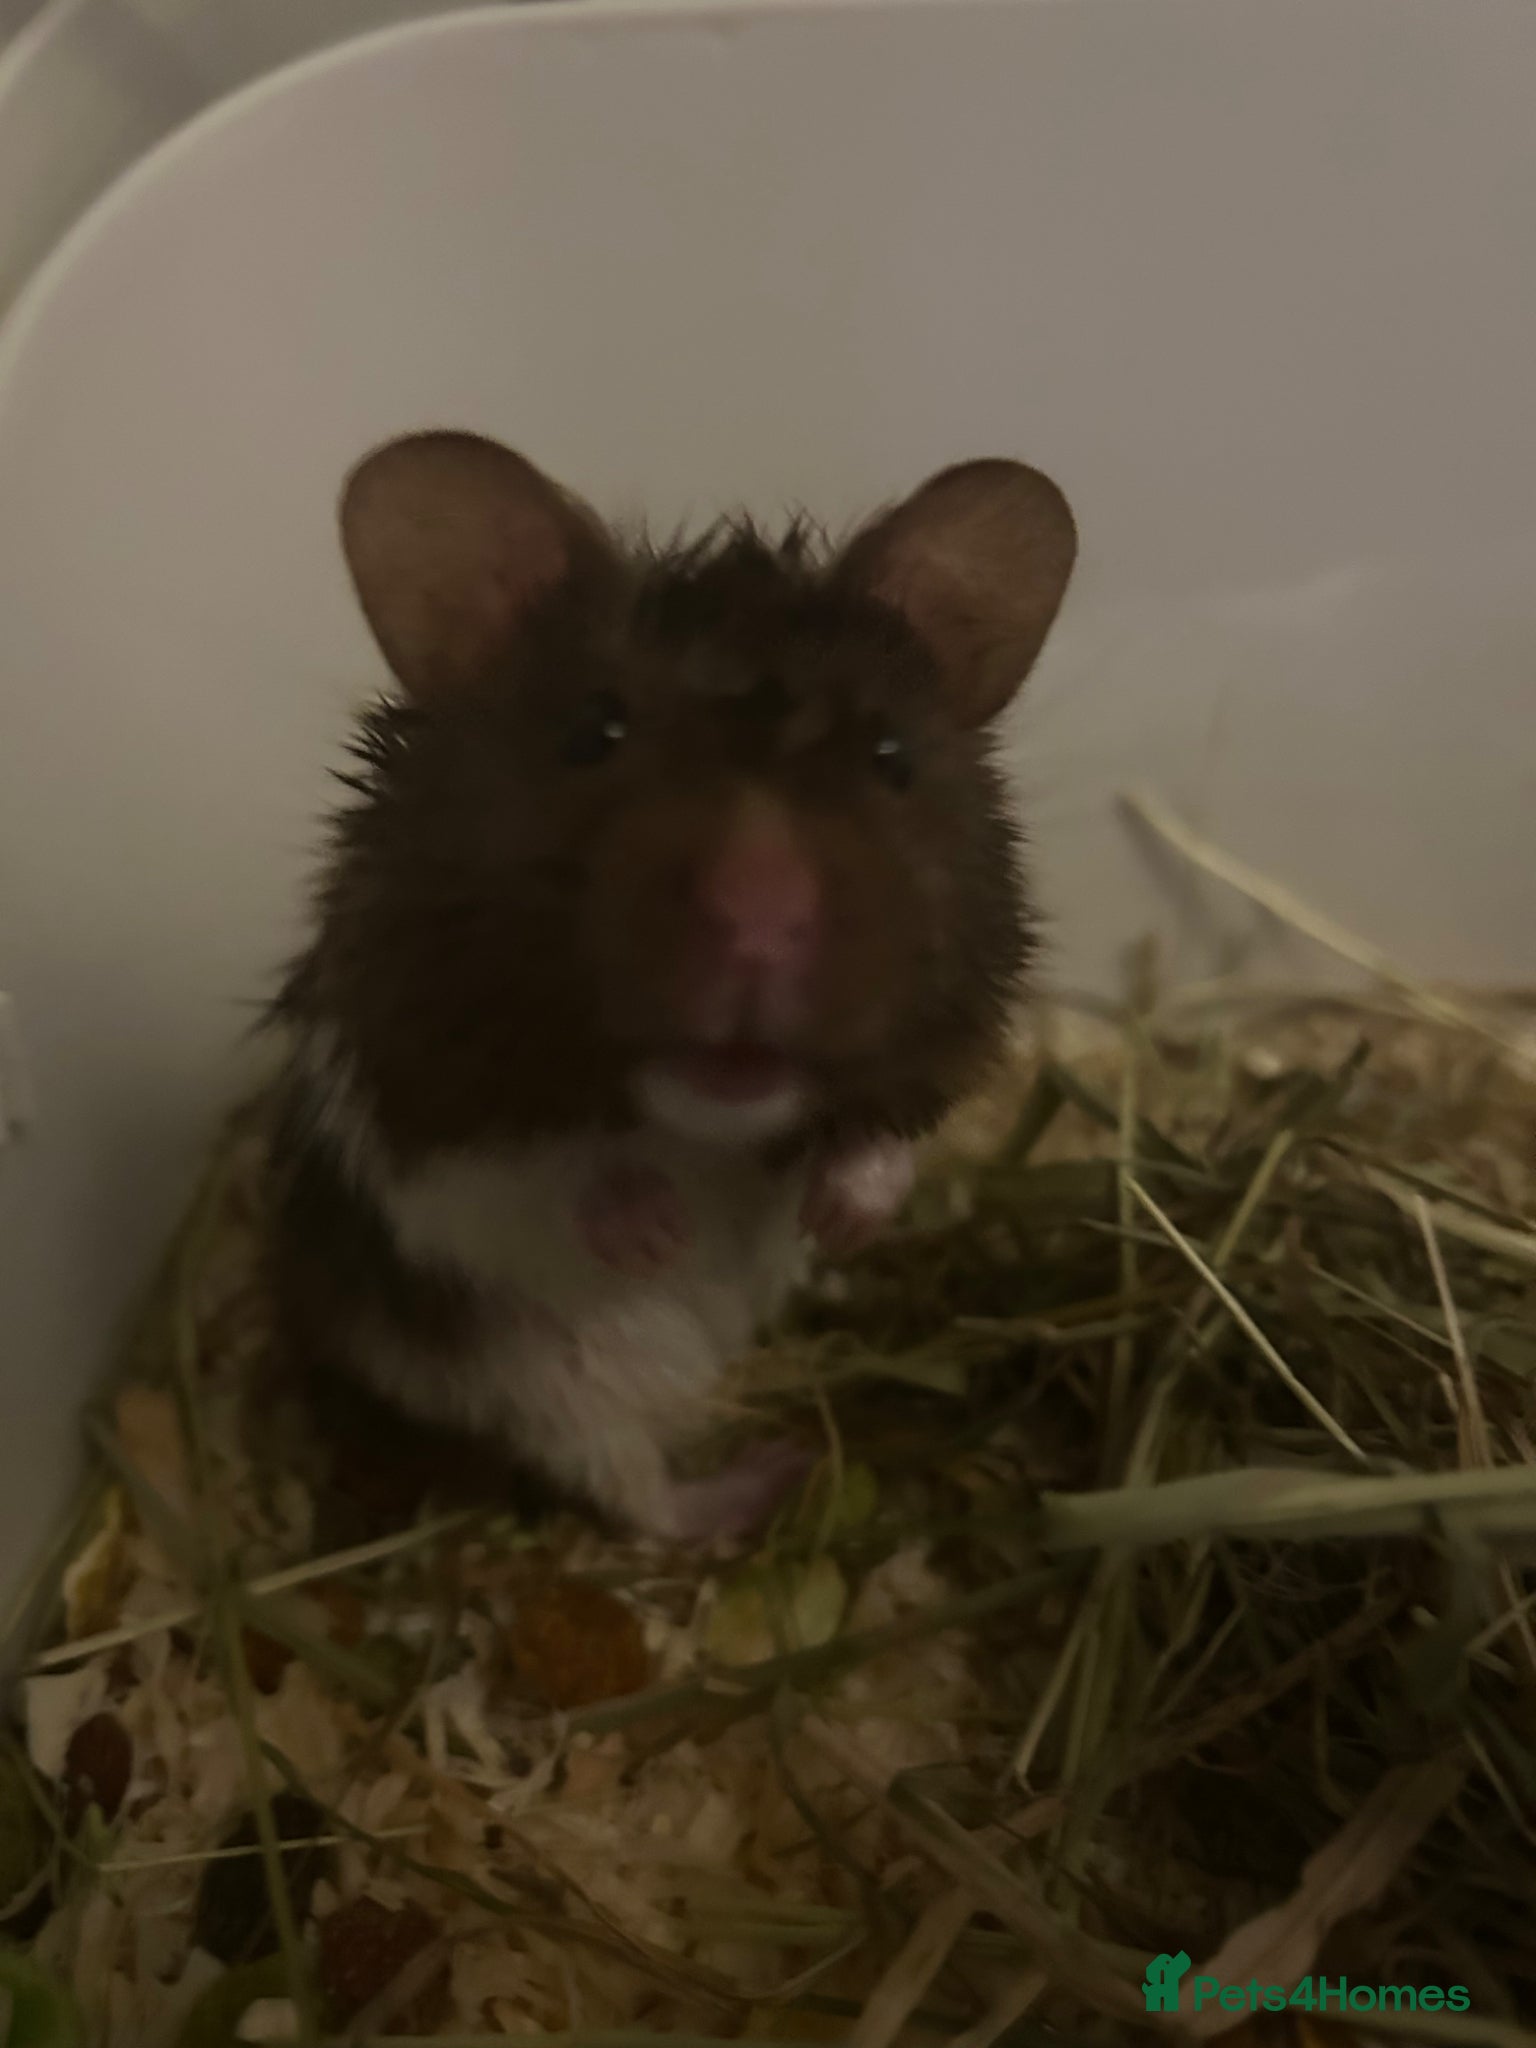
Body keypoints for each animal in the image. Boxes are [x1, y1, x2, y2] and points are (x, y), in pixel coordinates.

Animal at [266, 431, 1077, 1544]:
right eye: (590, 733)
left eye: (891, 755)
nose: (760, 917)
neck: (704, 1131)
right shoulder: (411, 1097)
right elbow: (535, 1170)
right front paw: (658, 1234)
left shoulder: (945, 1042)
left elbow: (889, 1140)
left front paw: (835, 1222)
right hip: (544, 1383)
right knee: (635, 1493)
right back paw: (767, 1476)